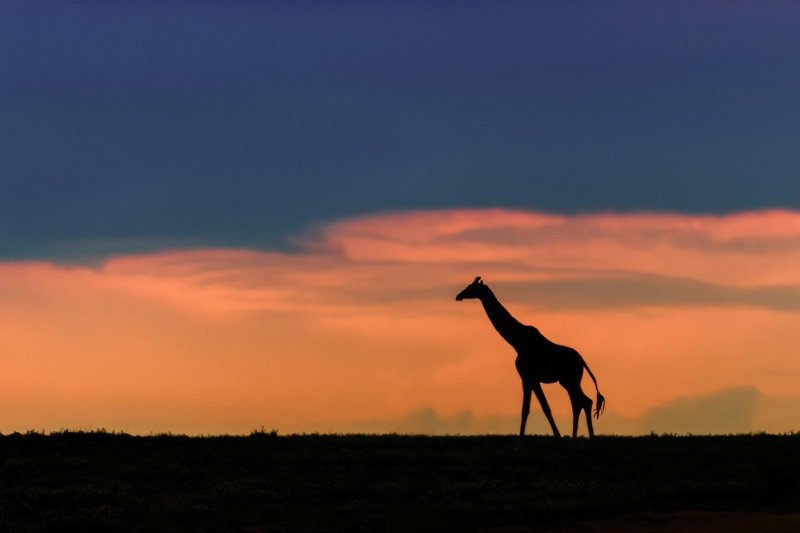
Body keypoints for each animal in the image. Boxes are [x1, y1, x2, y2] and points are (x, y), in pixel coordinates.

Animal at [454, 274, 604, 440]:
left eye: (472, 287)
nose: (458, 296)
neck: (517, 341)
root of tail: (583, 362)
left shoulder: (529, 376)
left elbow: (536, 409)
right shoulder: (528, 378)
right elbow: (532, 409)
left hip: (570, 380)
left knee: (583, 401)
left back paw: (588, 439)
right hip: (567, 381)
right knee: (580, 402)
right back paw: (577, 438)